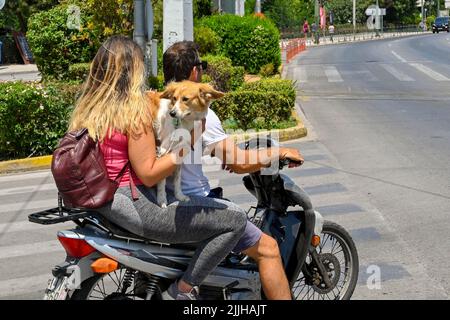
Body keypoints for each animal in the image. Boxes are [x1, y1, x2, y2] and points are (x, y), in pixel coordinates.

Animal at [148, 80, 225, 208]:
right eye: (174, 98)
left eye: (185, 99)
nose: (172, 113)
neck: (183, 122)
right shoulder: (163, 150)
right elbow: (162, 179)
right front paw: (162, 199)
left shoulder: (178, 150)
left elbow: (177, 179)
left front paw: (179, 195)